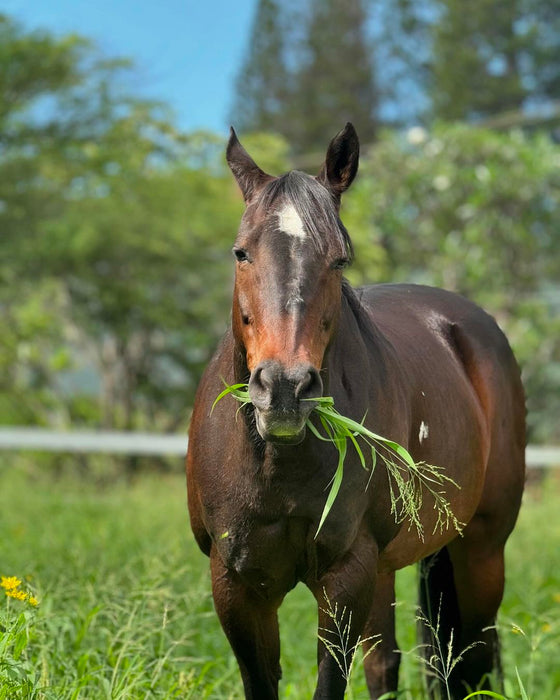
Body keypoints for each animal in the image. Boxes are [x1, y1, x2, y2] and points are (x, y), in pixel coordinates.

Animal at [187, 123, 524, 696]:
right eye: (241, 253)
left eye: (339, 259)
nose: (285, 388)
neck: (276, 462)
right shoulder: (236, 586)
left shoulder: (345, 577)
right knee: (387, 663)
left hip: (480, 549)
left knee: (472, 660)